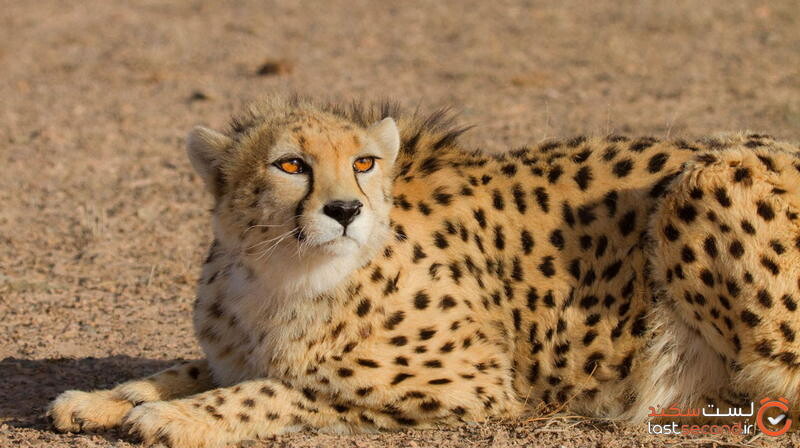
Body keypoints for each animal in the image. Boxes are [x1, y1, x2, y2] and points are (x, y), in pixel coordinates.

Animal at [48, 96, 800, 446]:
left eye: (364, 162)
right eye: (290, 163)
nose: (345, 209)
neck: (282, 276)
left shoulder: (472, 386)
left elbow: (285, 389)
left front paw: (172, 418)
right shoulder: (235, 344)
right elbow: (185, 367)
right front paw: (102, 399)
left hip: (710, 180)